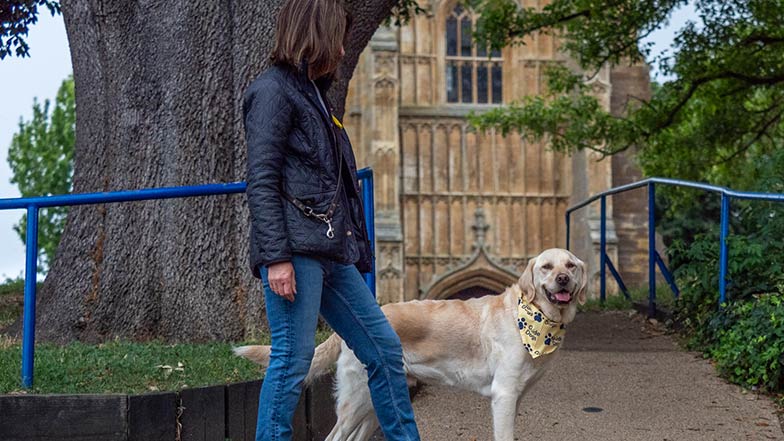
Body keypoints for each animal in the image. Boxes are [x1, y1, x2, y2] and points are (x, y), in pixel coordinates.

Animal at [236, 248, 584, 440]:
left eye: (570, 265)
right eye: (546, 267)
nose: (563, 280)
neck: (534, 318)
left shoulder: (515, 397)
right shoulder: (504, 395)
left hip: (375, 403)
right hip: (358, 400)